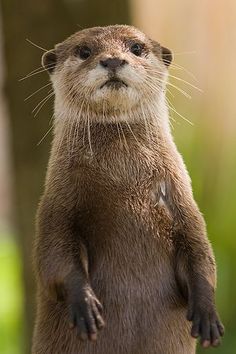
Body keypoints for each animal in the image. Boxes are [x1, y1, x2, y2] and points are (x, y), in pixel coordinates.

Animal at [32, 25, 224, 354]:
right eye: (84, 51)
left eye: (136, 47)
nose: (112, 60)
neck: (124, 180)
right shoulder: (56, 204)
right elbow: (53, 257)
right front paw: (84, 304)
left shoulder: (185, 204)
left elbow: (201, 253)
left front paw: (207, 312)